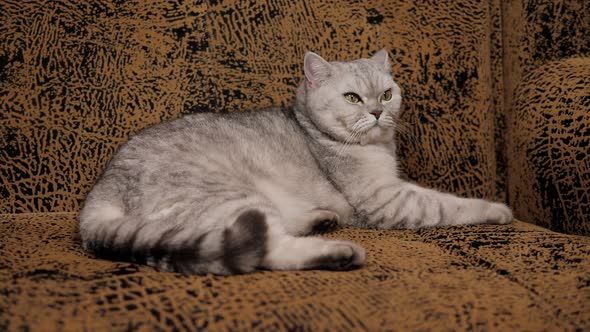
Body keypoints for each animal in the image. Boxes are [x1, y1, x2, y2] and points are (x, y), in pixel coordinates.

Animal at [78, 49, 512, 274]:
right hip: (230, 196)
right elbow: (447, 204)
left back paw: (320, 221)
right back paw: (338, 253)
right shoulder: (388, 199)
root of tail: (103, 188)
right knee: (266, 249)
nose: (376, 112)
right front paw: (498, 210)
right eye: (353, 98)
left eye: (387, 95)